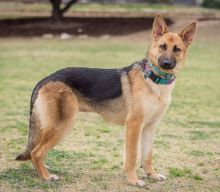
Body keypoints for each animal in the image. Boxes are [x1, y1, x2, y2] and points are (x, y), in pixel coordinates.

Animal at [16, 15, 197, 188]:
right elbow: (132, 157)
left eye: (177, 49)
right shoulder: (134, 126)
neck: (153, 80)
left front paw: (151, 175)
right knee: (36, 152)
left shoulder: (149, 128)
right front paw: (133, 180)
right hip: (62, 125)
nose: (166, 64)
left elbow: (147, 156)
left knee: (35, 152)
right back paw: (46, 177)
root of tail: (45, 79)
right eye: (162, 47)